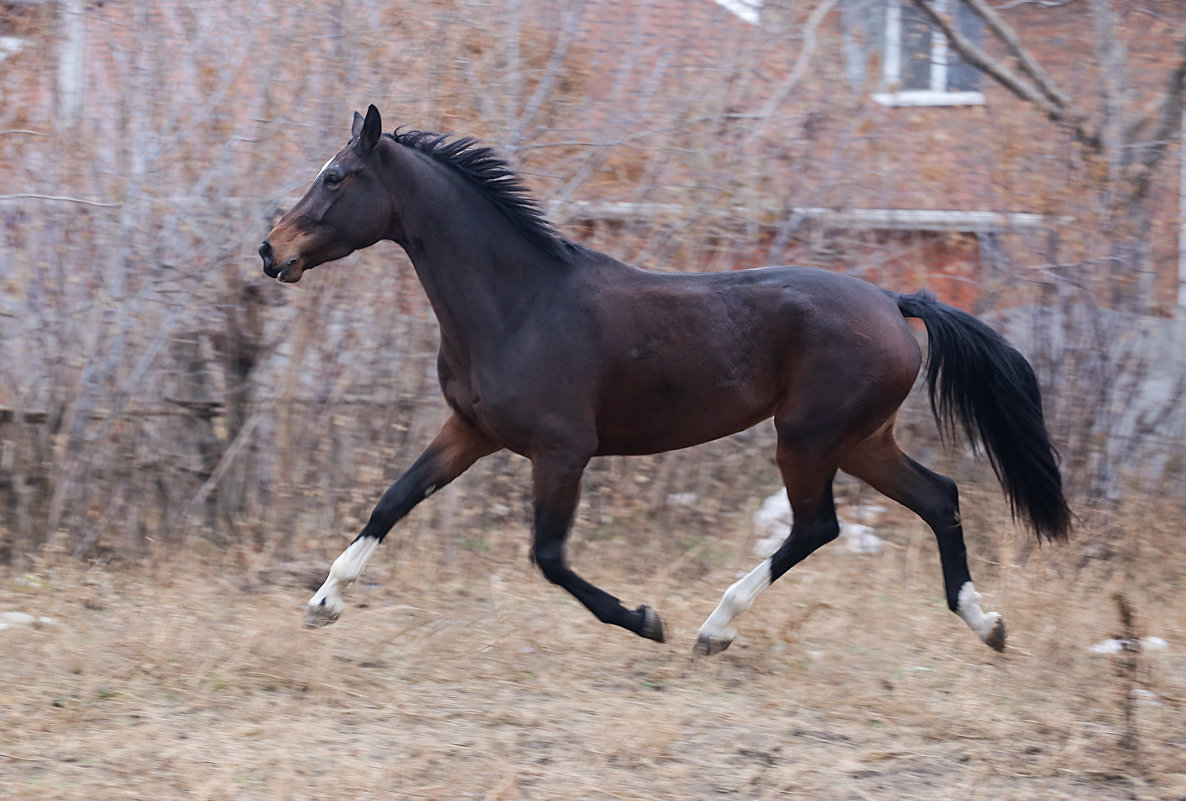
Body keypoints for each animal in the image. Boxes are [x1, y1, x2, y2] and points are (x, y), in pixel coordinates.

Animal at [262, 105, 1076, 659]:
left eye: (335, 177)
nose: (270, 251)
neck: (520, 304)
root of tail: (894, 301)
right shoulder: (469, 431)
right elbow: (393, 500)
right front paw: (323, 603)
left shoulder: (562, 452)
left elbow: (548, 557)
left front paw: (646, 620)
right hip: (860, 440)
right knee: (938, 497)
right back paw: (988, 624)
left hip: (809, 438)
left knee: (819, 525)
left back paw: (714, 628)